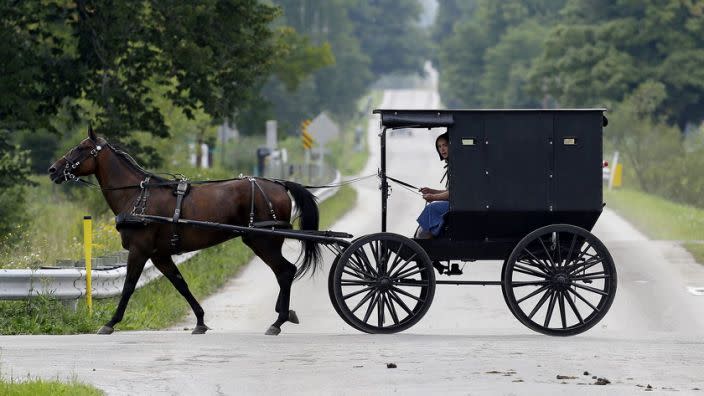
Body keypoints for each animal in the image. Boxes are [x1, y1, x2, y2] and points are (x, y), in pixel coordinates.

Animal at [48, 128, 322, 336]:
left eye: (81, 148)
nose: (53, 170)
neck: (138, 195)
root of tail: (279, 184)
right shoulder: (159, 255)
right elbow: (181, 284)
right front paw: (200, 321)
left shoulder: (139, 250)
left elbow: (128, 286)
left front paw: (110, 323)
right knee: (284, 273)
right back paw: (283, 314)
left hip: (263, 241)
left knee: (285, 272)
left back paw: (278, 321)